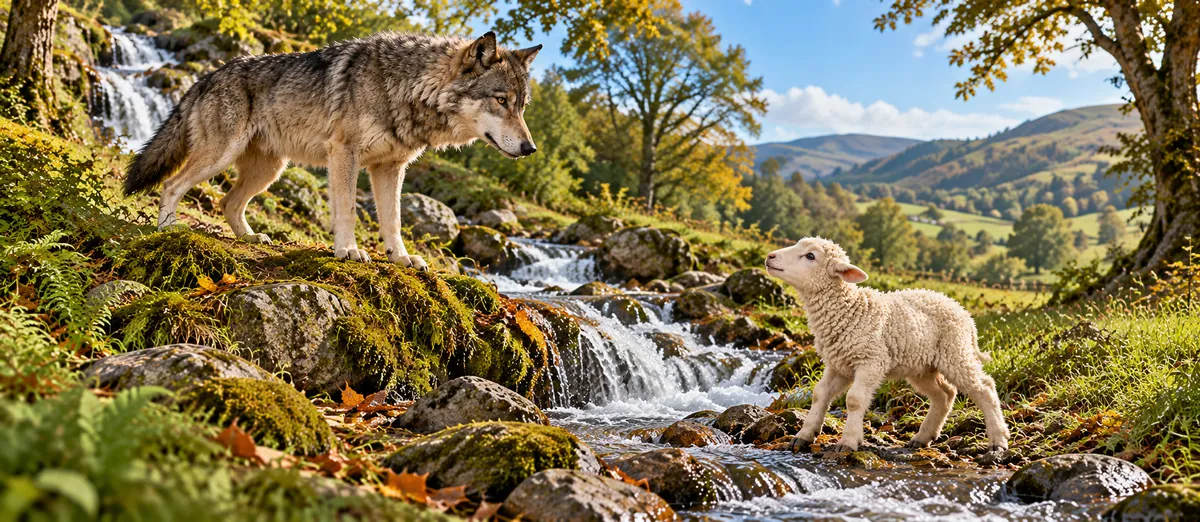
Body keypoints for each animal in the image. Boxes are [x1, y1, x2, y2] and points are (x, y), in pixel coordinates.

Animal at [123, 31, 541, 269]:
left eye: (522, 106)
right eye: (500, 101)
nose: (530, 147)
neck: (407, 88)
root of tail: (206, 75)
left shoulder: (390, 168)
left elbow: (392, 221)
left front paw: (401, 257)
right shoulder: (344, 155)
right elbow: (349, 212)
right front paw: (349, 251)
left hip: (268, 171)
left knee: (228, 203)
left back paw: (250, 238)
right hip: (221, 156)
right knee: (172, 186)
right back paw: (168, 230)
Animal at [765, 237, 1008, 454]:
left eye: (810, 256)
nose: (770, 256)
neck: (849, 310)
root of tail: (965, 314)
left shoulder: (871, 360)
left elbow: (854, 400)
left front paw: (848, 442)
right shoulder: (839, 364)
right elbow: (819, 394)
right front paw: (804, 435)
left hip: (955, 352)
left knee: (984, 388)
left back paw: (998, 440)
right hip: (923, 366)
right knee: (945, 394)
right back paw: (923, 437)